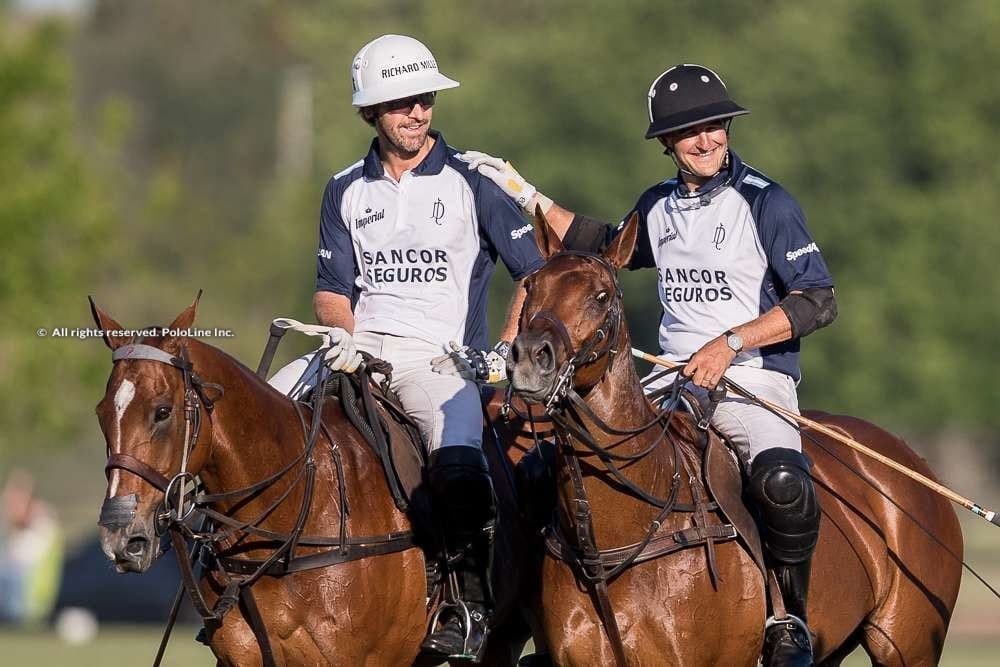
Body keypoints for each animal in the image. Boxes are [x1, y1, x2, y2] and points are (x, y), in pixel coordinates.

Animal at [512, 215, 964, 667]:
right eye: (531, 286)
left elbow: (813, 295)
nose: (530, 359)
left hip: (907, 645)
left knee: (782, 484)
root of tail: (913, 460)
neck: (618, 538)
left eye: (601, 296)